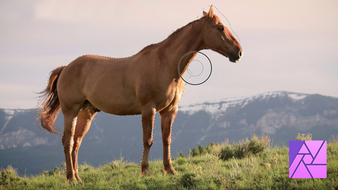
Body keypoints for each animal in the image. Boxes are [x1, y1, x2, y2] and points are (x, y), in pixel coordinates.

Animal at [37, 5, 240, 183]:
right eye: (220, 27)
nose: (238, 52)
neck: (164, 64)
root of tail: (66, 68)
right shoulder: (148, 109)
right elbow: (148, 140)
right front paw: (145, 171)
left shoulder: (169, 110)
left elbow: (166, 139)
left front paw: (170, 170)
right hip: (70, 111)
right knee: (67, 141)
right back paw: (71, 178)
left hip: (86, 112)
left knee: (76, 142)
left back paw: (78, 178)